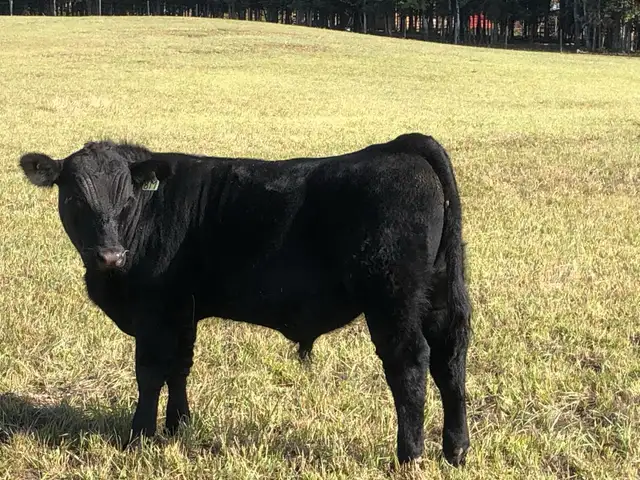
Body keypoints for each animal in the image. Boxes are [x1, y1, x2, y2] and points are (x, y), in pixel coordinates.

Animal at [18, 133, 472, 467]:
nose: (110, 256)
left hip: (393, 301)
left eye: (127, 200)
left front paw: (138, 436)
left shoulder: (154, 312)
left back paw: (409, 456)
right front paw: (178, 427)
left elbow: (149, 374)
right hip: (437, 295)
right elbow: (180, 367)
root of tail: (400, 146)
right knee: (450, 360)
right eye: (75, 199)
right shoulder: (183, 310)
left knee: (410, 366)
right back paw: (455, 450)